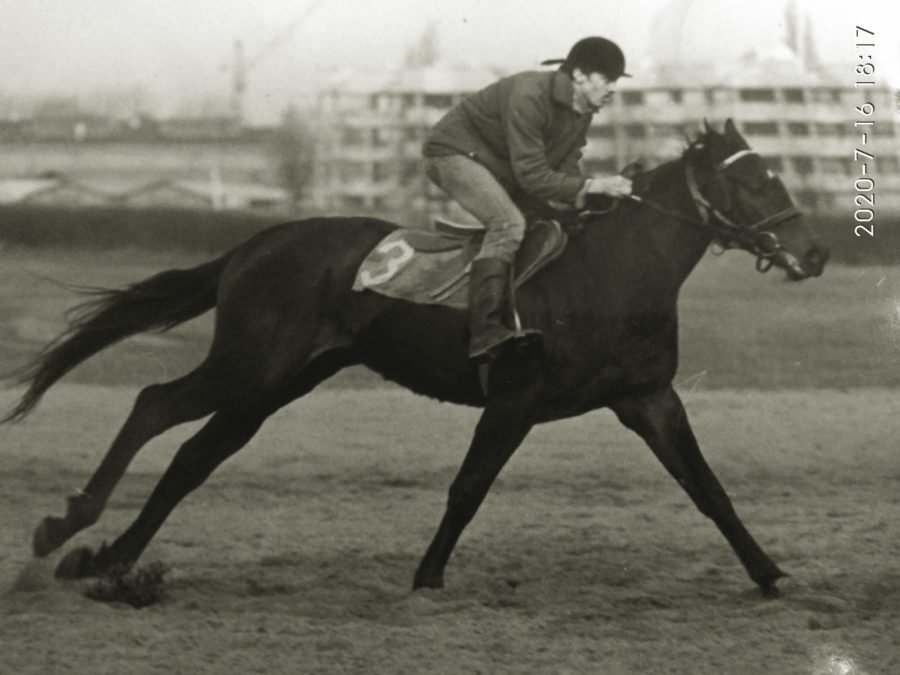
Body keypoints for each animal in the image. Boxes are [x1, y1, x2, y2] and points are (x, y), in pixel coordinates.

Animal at [3, 119, 828, 596]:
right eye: (751, 178)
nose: (814, 252)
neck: (612, 273)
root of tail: (254, 242)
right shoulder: (515, 398)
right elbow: (468, 487)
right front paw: (428, 575)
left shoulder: (648, 396)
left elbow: (709, 488)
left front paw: (770, 572)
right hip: (251, 364)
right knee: (154, 405)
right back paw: (70, 528)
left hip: (279, 381)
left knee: (193, 455)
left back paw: (103, 557)